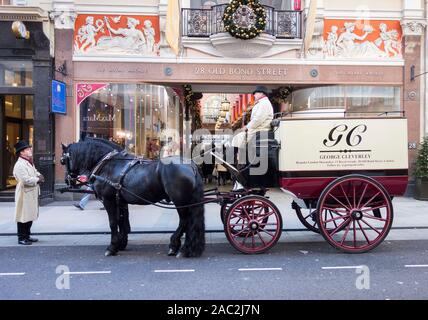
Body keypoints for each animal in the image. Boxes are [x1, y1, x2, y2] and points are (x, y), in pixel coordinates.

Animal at [60, 138, 206, 258]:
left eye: (62, 160)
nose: (67, 180)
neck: (109, 165)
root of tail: (190, 165)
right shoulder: (120, 201)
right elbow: (122, 222)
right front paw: (121, 243)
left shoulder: (109, 200)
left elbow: (113, 222)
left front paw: (112, 247)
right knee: (188, 222)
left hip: (180, 200)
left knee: (185, 221)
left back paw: (179, 247)